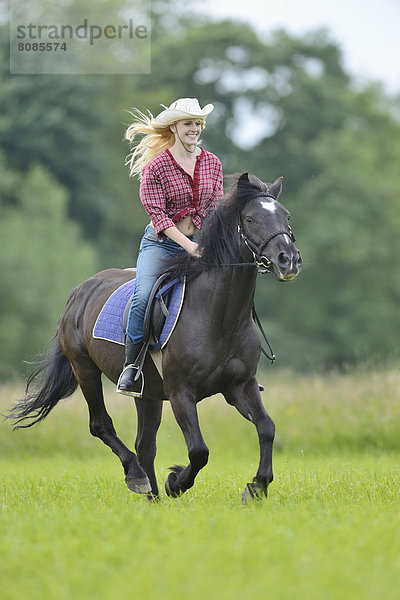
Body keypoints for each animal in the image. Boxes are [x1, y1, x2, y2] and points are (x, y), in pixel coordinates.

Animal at [10, 173, 300, 502]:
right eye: (250, 219)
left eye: (286, 216)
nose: (288, 260)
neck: (219, 316)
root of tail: (81, 291)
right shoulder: (180, 392)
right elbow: (199, 450)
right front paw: (176, 482)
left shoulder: (240, 386)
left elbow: (267, 428)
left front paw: (257, 487)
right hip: (85, 369)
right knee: (101, 425)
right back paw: (137, 477)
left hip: (146, 393)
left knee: (144, 443)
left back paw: (152, 497)